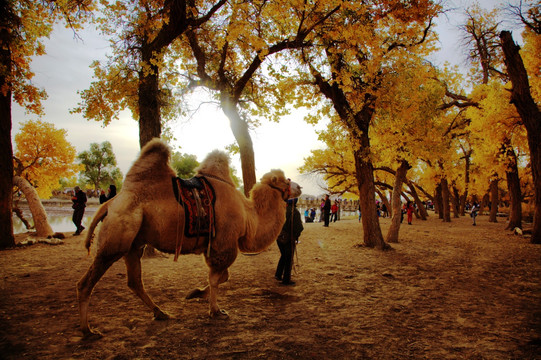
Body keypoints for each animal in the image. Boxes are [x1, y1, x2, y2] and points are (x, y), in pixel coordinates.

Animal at [76, 139, 302, 338]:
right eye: (286, 181)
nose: (299, 188)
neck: (249, 217)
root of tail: (110, 203)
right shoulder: (224, 244)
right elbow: (217, 278)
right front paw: (215, 310)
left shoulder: (217, 247)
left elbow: (223, 277)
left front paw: (196, 294)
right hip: (116, 239)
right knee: (87, 283)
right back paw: (88, 331)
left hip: (134, 245)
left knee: (134, 282)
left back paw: (161, 313)